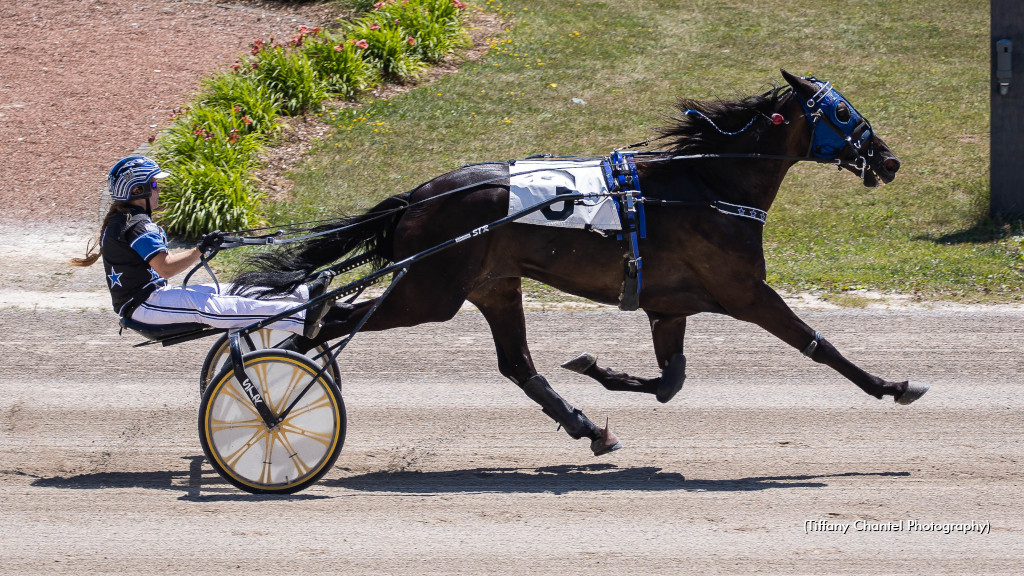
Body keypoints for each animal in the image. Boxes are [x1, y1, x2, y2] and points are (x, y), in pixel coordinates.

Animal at [235, 71, 933, 455]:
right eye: (842, 112)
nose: (890, 159)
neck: (707, 185)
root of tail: (420, 196)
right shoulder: (746, 293)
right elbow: (818, 344)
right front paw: (892, 385)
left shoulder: (667, 306)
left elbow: (671, 381)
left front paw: (595, 369)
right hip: (427, 294)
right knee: (327, 323)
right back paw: (278, 396)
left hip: (494, 285)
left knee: (517, 365)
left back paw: (587, 427)